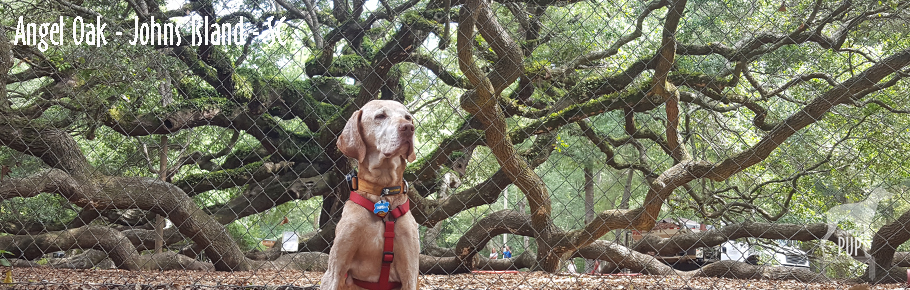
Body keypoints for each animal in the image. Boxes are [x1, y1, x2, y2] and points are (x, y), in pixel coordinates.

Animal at [320, 100, 420, 290]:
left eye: (408, 117)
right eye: (380, 116)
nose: (409, 128)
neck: (382, 191)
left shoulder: (410, 273)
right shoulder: (334, 270)